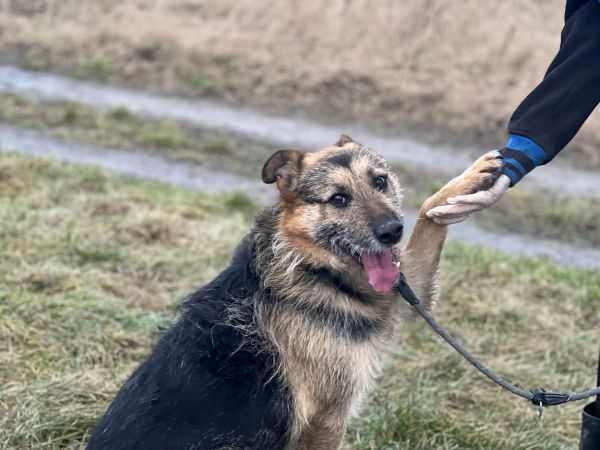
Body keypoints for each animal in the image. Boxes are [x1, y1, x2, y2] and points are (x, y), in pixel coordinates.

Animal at [86, 136, 504, 450]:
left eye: (380, 182)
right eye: (338, 199)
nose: (391, 231)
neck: (311, 267)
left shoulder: (409, 282)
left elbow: (430, 212)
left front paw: (469, 180)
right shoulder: (324, 418)